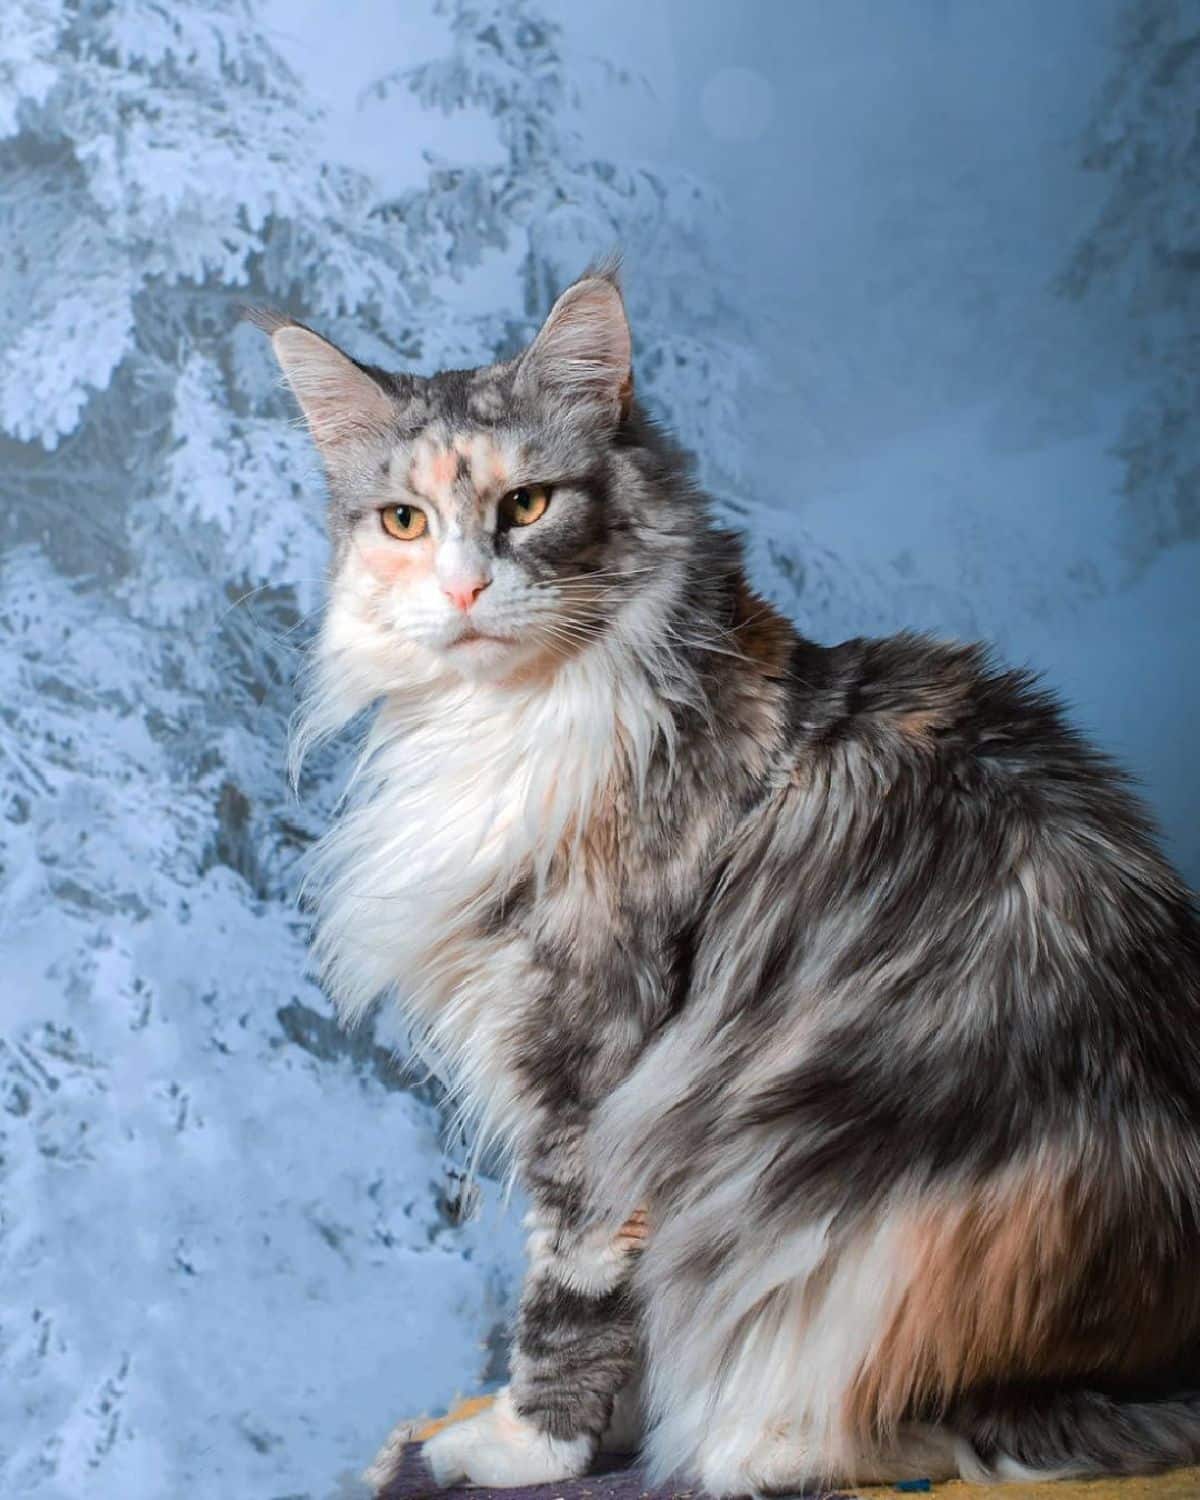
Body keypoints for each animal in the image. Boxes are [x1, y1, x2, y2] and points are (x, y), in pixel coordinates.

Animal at [259, 273, 1200, 1500]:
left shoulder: (592, 1062)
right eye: (403, 523)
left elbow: (570, 1293)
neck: (511, 719)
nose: (464, 588)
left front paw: (520, 1447)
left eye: (527, 505)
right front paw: (599, 1432)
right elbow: (624, 1319)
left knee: (946, 1428)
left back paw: (747, 1444)